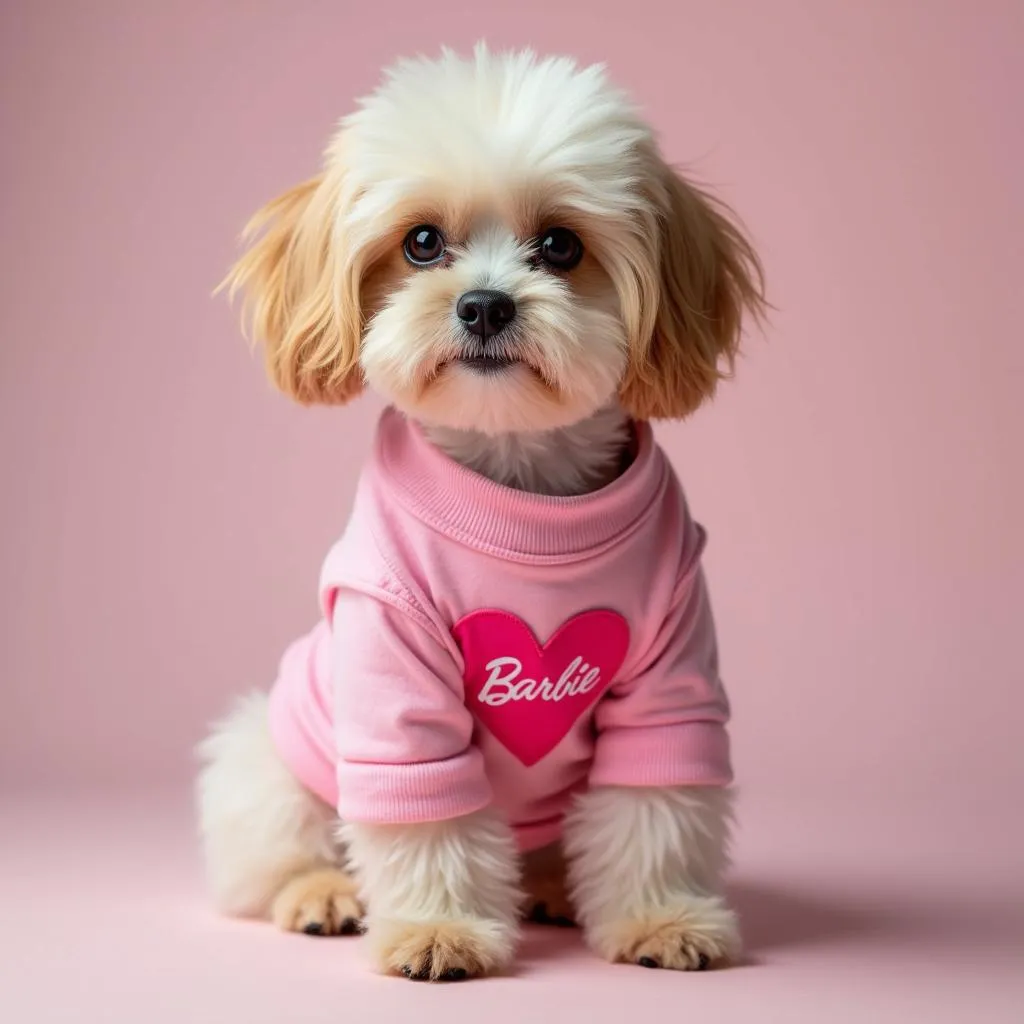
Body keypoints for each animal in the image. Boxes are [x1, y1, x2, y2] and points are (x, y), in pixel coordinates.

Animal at [197, 44, 761, 978]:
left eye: (561, 245)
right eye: (422, 242)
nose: (487, 303)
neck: (522, 494)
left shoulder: (672, 672)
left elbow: (655, 800)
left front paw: (660, 916)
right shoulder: (394, 676)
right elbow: (429, 811)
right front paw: (439, 929)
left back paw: (556, 885)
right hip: (270, 760)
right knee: (286, 844)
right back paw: (322, 894)